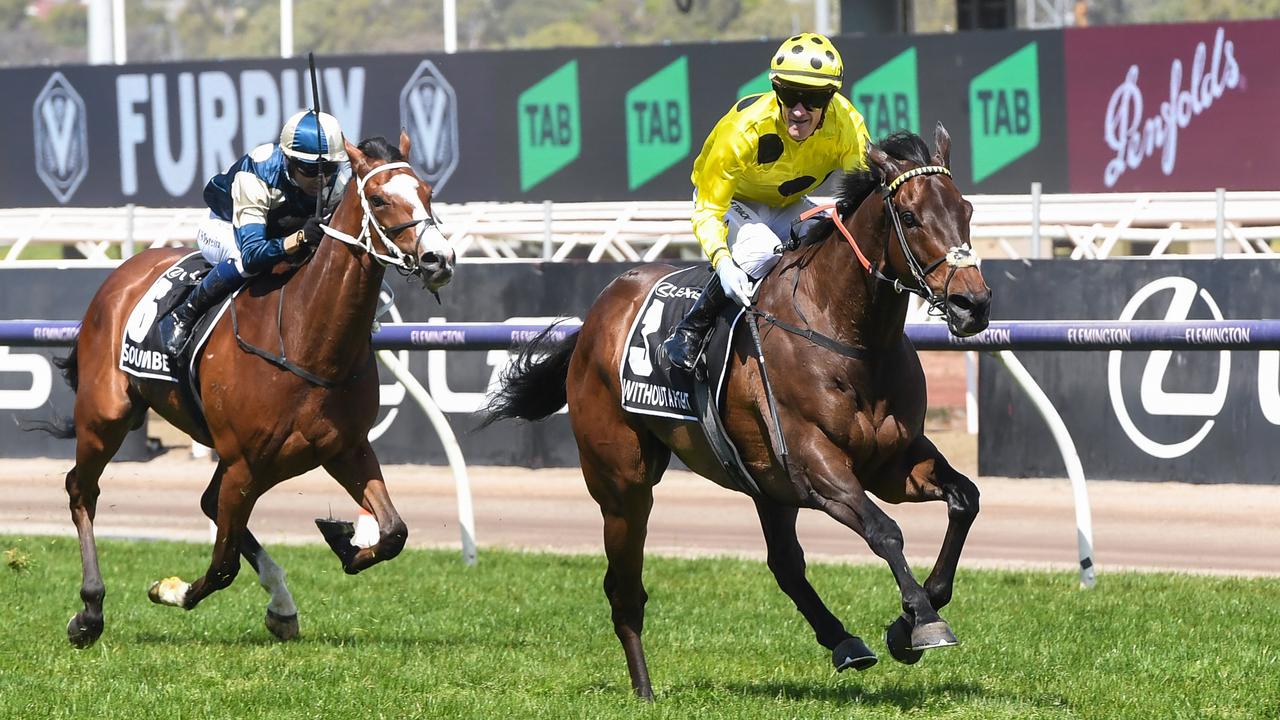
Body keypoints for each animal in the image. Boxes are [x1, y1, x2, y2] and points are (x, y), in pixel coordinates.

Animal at [45, 131, 455, 648]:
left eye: (427, 192)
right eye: (379, 199)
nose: (439, 259)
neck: (305, 337)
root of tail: (123, 273)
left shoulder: (345, 448)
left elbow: (394, 532)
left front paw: (343, 542)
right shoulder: (244, 461)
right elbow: (221, 567)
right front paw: (171, 590)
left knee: (206, 502)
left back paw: (281, 603)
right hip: (106, 416)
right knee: (82, 490)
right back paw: (90, 611)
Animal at [483, 126, 993, 696]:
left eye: (966, 209)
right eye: (908, 216)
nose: (973, 304)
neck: (848, 336)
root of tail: (598, 313)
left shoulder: (892, 462)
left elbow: (965, 499)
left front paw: (910, 620)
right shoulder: (816, 463)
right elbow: (885, 531)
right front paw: (922, 621)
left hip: (766, 482)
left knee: (785, 564)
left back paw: (844, 643)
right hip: (622, 483)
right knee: (624, 587)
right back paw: (644, 689)